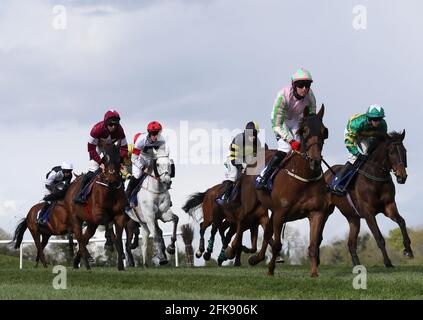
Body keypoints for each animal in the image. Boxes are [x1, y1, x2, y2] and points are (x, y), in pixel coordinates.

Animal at [64, 142, 127, 270]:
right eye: (104, 159)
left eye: (119, 159)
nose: (112, 179)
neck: (110, 190)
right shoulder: (98, 214)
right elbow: (108, 225)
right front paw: (109, 244)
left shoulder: (120, 215)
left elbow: (118, 238)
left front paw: (121, 264)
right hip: (76, 219)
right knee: (80, 238)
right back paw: (87, 262)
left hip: (91, 224)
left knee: (84, 239)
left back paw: (78, 262)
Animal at [243, 105, 330, 278]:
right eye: (304, 130)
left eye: (324, 131)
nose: (315, 160)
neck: (303, 179)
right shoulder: (280, 213)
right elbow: (277, 244)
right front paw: (270, 269)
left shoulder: (316, 212)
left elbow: (313, 245)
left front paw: (314, 273)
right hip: (251, 205)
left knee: (267, 230)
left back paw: (256, 258)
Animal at [324, 131, 414, 268]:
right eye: (391, 152)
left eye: (404, 151)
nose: (402, 177)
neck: (376, 179)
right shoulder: (368, 212)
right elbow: (379, 237)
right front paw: (388, 262)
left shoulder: (389, 206)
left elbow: (402, 222)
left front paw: (408, 250)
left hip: (353, 218)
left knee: (351, 244)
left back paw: (357, 265)